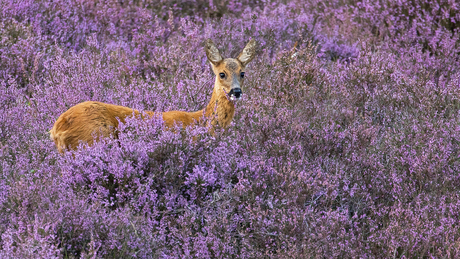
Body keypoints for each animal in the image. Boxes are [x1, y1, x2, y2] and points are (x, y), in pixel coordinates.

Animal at [51, 38, 258, 152]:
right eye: (222, 73)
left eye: (242, 73)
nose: (236, 91)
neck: (202, 120)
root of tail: (57, 128)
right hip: (93, 139)